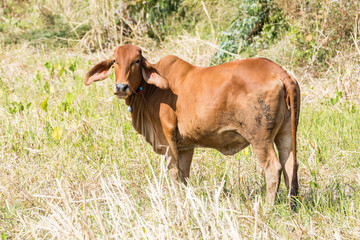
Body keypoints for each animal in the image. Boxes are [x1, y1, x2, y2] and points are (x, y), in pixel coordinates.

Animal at [85, 44, 300, 209]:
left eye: (136, 60)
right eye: (114, 60)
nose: (121, 87)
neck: (151, 90)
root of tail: (278, 71)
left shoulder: (167, 139)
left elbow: (174, 173)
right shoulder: (185, 146)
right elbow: (184, 175)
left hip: (260, 137)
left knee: (273, 168)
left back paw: (267, 208)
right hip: (286, 134)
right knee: (290, 164)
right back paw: (292, 207)